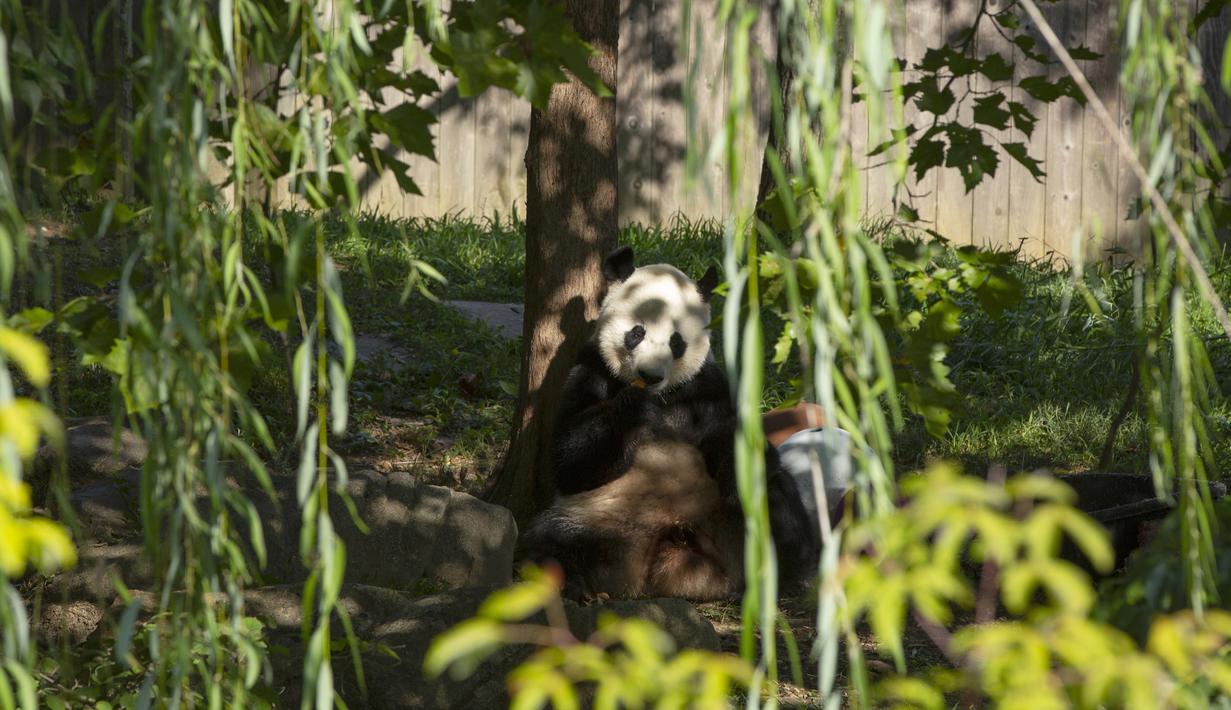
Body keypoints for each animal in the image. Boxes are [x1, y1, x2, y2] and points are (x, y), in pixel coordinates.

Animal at [523, 246, 820, 602]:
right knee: (552, 540)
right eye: (637, 333)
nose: (650, 375)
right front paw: (634, 407)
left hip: (728, 528)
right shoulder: (591, 369)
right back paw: (574, 588)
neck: (663, 397)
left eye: (676, 342)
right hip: (599, 518)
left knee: (778, 504)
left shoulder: (709, 389)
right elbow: (570, 459)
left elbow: (736, 440)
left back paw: (790, 578)